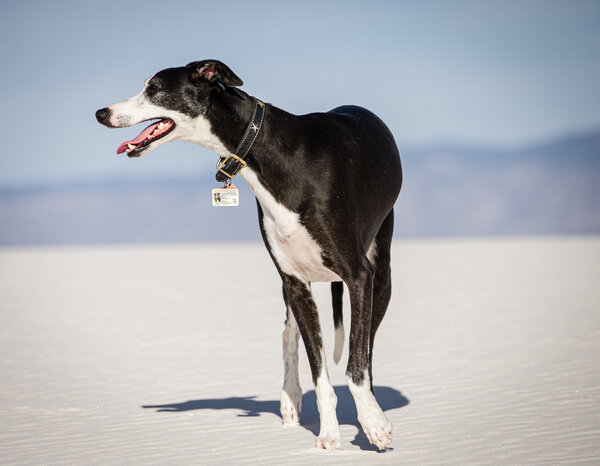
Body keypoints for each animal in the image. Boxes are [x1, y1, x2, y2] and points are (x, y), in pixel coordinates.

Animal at [96, 59, 400, 452]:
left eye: (155, 89)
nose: (101, 113)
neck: (275, 154)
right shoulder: (295, 282)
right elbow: (319, 373)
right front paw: (329, 435)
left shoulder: (359, 276)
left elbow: (356, 364)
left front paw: (374, 424)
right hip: (295, 288)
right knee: (290, 334)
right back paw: (290, 397)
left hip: (381, 274)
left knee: (366, 348)